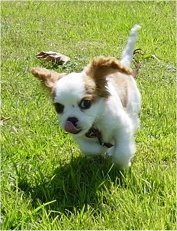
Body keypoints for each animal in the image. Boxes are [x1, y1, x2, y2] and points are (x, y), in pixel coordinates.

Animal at [30, 24, 141, 169]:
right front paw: (104, 151)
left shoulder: (122, 126)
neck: (95, 124)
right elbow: (91, 149)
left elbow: (122, 152)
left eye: (85, 103)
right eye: (58, 107)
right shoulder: (81, 137)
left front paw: (124, 164)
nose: (71, 120)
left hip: (133, 106)